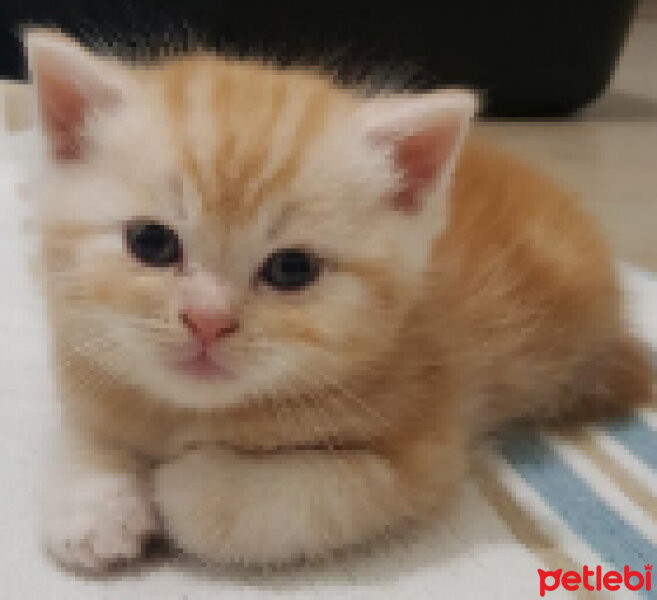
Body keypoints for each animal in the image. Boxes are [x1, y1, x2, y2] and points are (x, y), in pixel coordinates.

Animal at [26, 28, 652, 572]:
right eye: (152, 243)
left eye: (292, 269)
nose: (206, 321)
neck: (191, 411)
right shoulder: (87, 366)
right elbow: (87, 433)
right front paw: (92, 506)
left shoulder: (423, 454)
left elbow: (295, 499)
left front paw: (188, 485)